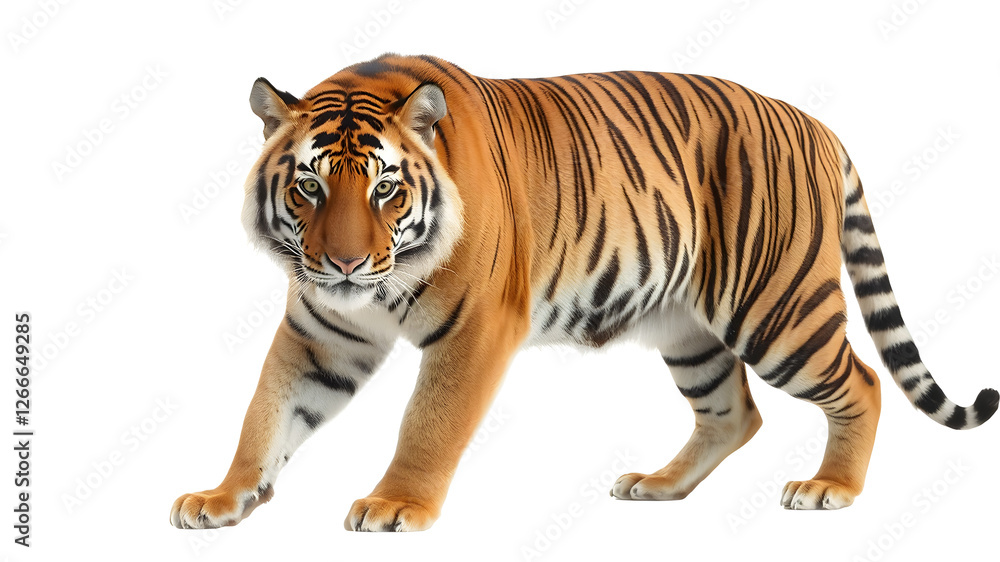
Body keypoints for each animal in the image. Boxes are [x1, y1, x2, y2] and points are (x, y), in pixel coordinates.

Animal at [170, 53, 998, 531]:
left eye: (385, 189)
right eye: (309, 187)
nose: (343, 265)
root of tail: (817, 124)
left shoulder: (475, 328)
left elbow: (428, 423)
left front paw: (395, 504)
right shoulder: (321, 332)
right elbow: (266, 411)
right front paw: (221, 496)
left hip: (778, 309)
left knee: (861, 382)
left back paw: (830, 489)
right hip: (687, 329)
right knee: (734, 413)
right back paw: (658, 487)